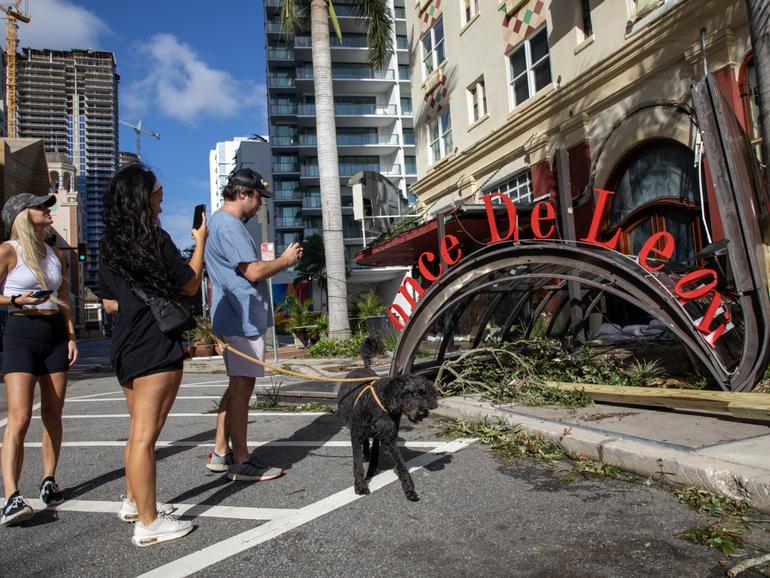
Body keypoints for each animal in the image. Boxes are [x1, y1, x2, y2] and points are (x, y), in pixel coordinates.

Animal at [338, 336, 438, 498]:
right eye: (407, 393)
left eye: (422, 392)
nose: (422, 412)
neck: (382, 404)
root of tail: (364, 367)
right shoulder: (356, 434)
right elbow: (357, 463)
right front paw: (360, 485)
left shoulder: (388, 438)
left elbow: (400, 463)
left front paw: (409, 488)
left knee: (372, 448)